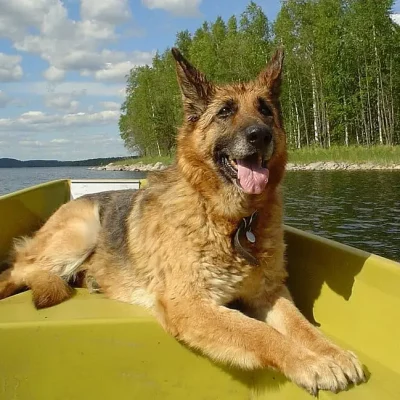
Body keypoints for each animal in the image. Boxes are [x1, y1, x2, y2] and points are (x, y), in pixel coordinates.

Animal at [0, 47, 366, 394]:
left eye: (265, 111)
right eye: (225, 112)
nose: (260, 135)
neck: (231, 221)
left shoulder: (270, 292)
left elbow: (301, 325)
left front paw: (332, 353)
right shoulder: (191, 305)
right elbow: (259, 331)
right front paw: (310, 362)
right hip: (80, 232)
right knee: (18, 269)